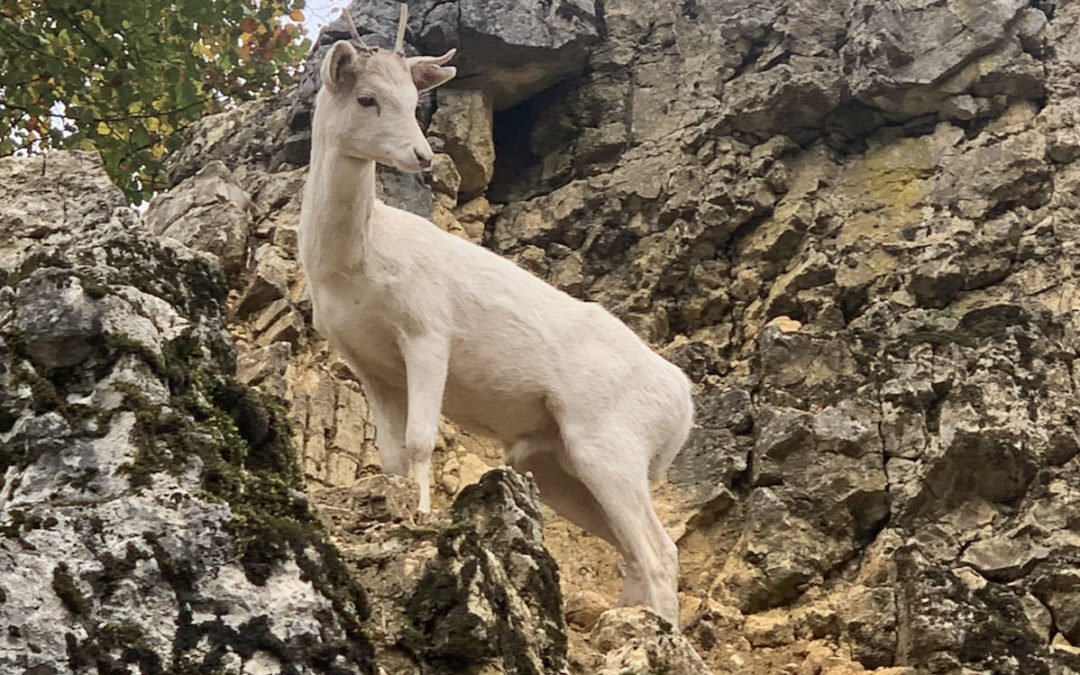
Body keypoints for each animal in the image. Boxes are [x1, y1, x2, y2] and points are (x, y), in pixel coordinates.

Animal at [300, 34, 695, 622]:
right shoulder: (368, 363)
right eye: (368, 99)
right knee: (633, 551)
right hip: (557, 466)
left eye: (414, 102)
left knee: (660, 551)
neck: (357, 265)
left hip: (611, 446)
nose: (422, 156)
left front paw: (422, 514)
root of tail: (684, 404)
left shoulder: (428, 330)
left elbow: (420, 441)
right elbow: (390, 455)